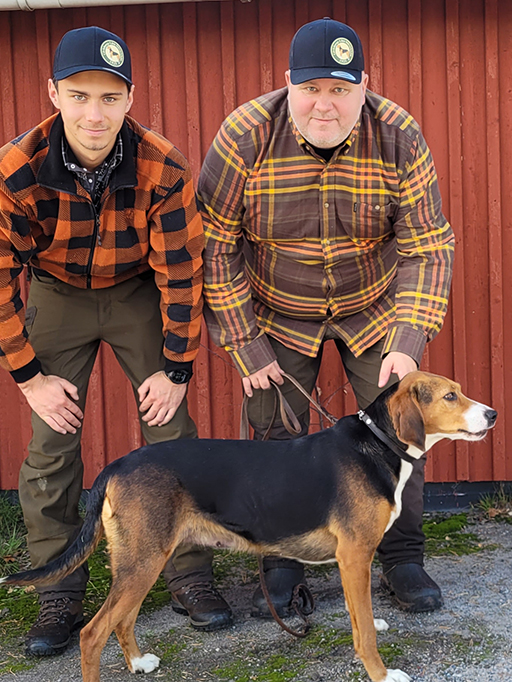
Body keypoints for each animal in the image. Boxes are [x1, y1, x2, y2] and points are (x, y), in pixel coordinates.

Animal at [1, 371, 497, 682]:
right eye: (450, 396)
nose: (492, 414)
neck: (376, 443)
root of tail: (117, 464)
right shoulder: (354, 553)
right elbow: (367, 632)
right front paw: (381, 672)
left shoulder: (351, 559)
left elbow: (361, 614)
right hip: (142, 560)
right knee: (91, 634)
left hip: (143, 559)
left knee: (121, 620)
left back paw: (138, 662)